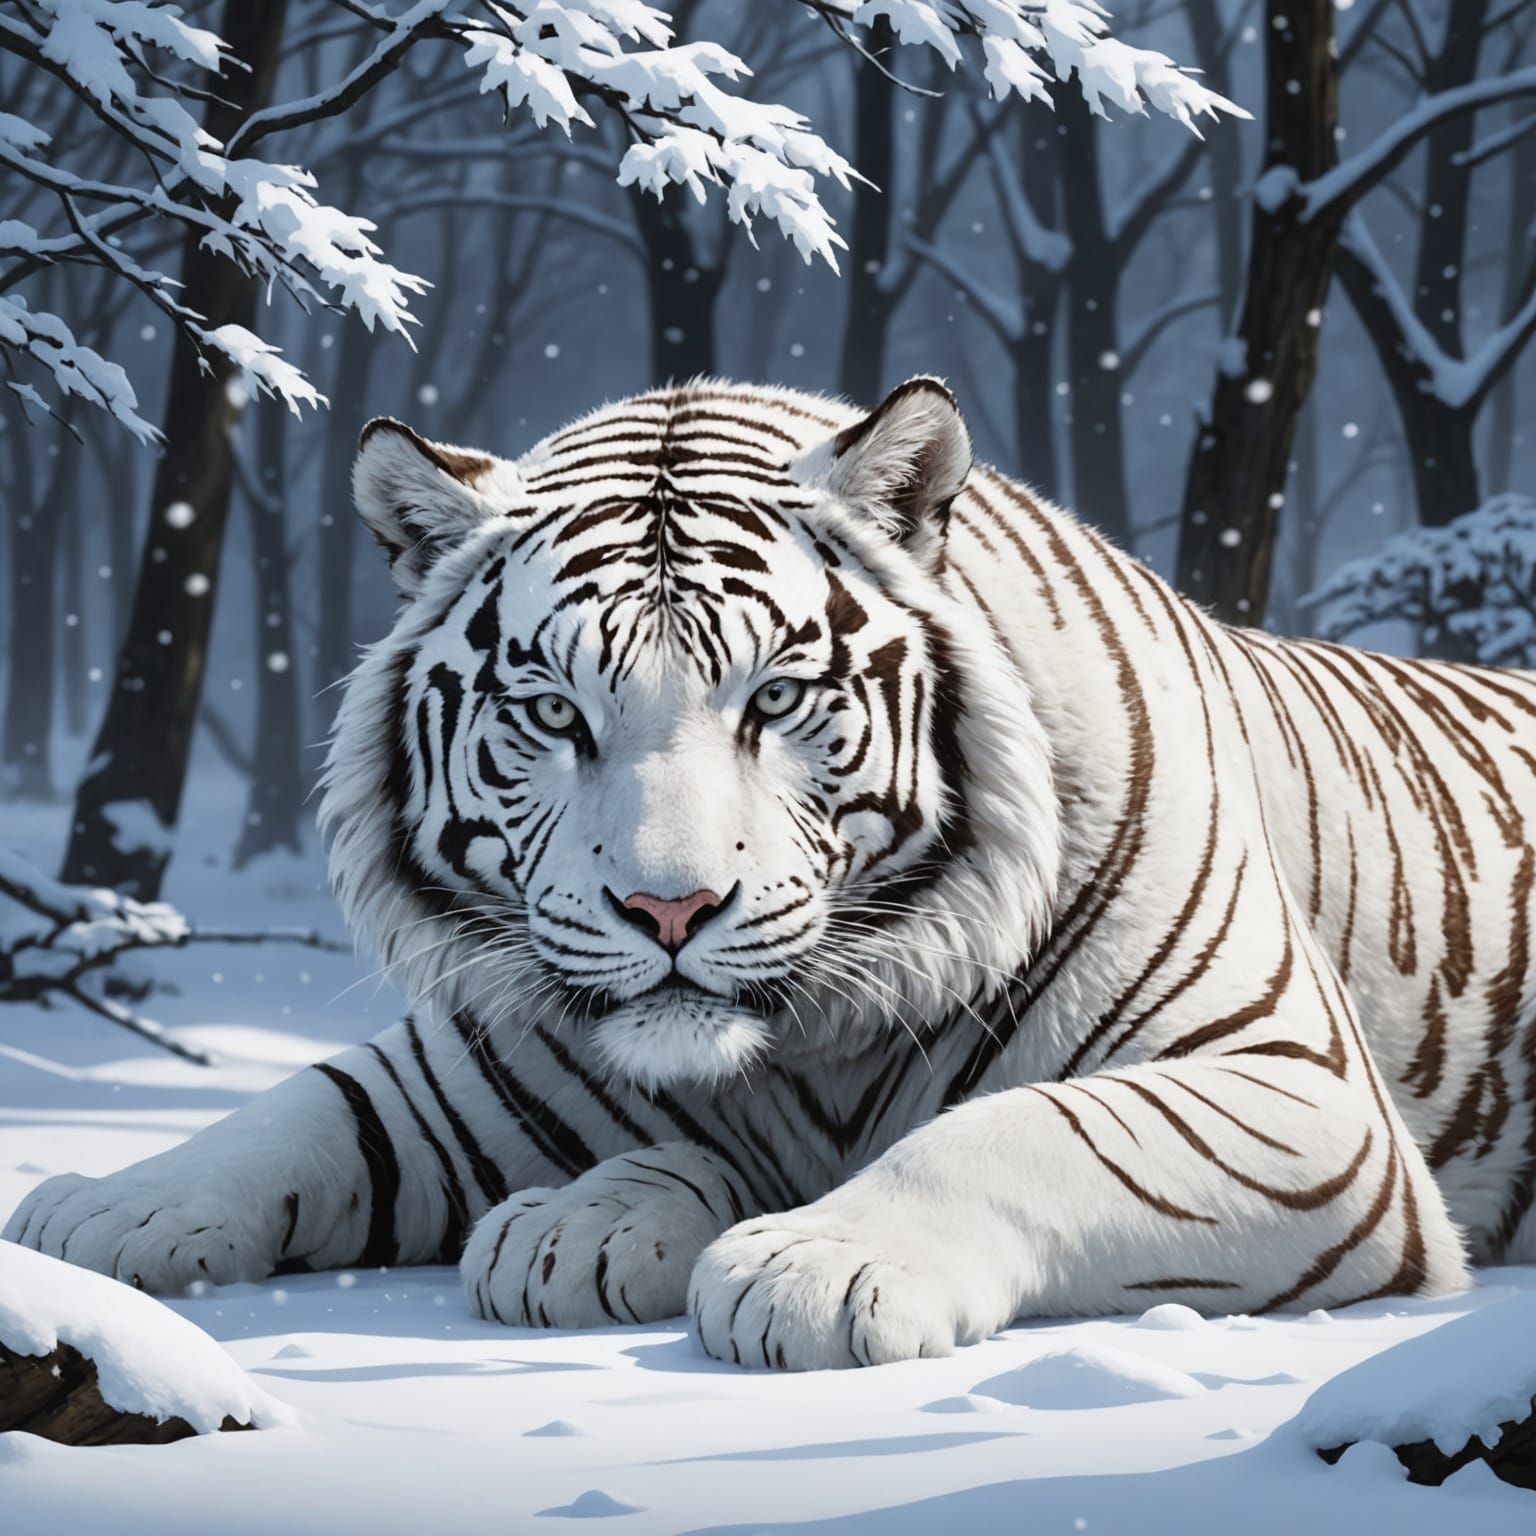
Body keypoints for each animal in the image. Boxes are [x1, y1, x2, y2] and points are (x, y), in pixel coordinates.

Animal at [8, 377, 1535, 1371]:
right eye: (552, 712)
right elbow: (310, 1114)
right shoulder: (478, 1066)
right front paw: (94, 1213)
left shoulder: (1299, 1097)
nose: (668, 907)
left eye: (778, 697)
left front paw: (816, 1266)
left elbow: (1031, 1129)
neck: (809, 1048)